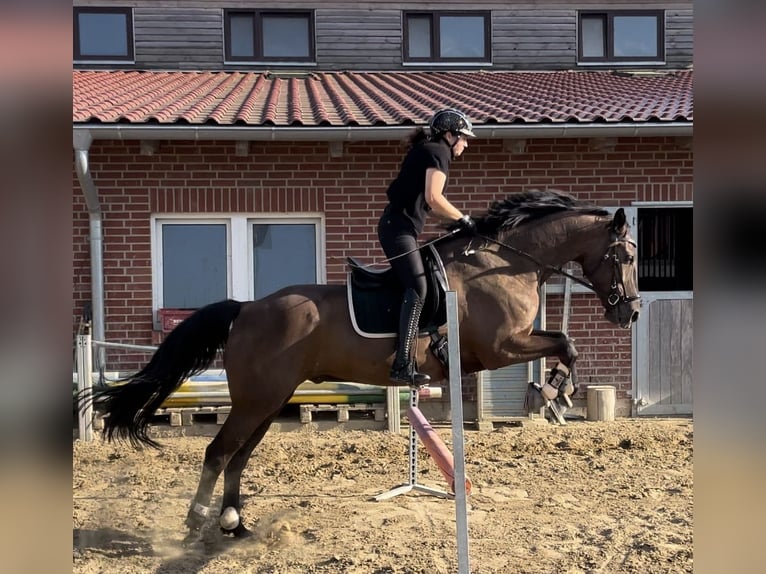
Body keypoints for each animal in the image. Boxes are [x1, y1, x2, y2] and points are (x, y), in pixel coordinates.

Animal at [78, 190, 640, 544]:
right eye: (628, 256)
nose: (630, 312)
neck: (505, 262)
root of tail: (246, 307)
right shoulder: (502, 347)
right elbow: (565, 342)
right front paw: (552, 392)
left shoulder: (505, 348)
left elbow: (565, 343)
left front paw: (556, 392)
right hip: (258, 400)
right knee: (219, 452)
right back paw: (198, 522)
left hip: (267, 401)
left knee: (237, 457)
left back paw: (236, 524)